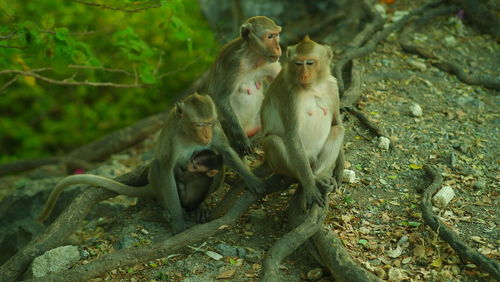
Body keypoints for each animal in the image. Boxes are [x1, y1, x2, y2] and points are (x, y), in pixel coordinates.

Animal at [37, 92, 266, 234]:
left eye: (210, 123)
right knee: (156, 168)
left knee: (219, 165)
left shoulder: (218, 130)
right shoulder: (172, 140)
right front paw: (178, 219)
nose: (207, 134)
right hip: (159, 186)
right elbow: (165, 167)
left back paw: (199, 207)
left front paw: (253, 180)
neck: (188, 134)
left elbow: (225, 153)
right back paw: (166, 208)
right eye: (200, 124)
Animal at [206, 15, 284, 156]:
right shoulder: (235, 63)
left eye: (276, 35)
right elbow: (221, 98)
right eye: (270, 36)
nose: (278, 47)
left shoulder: (271, 62)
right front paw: (242, 142)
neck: (254, 57)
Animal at [260, 35, 346, 210]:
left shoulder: (332, 85)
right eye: (298, 63)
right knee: (273, 141)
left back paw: (319, 175)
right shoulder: (289, 94)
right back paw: (311, 179)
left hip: (314, 159)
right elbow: (292, 135)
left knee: (338, 130)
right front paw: (311, 188)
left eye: (310, 63)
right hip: (292, 163)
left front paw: (340, 168)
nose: (303, 74)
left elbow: (336, 122)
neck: (314, 86)